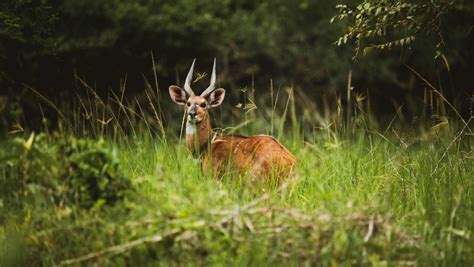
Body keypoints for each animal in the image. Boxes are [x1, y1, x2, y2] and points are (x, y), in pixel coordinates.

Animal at [168, 59, 296, 183]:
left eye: (203, 104)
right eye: (188, 103)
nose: (192, 114)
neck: (207, 145)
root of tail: (290, 164)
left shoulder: (214, 176)